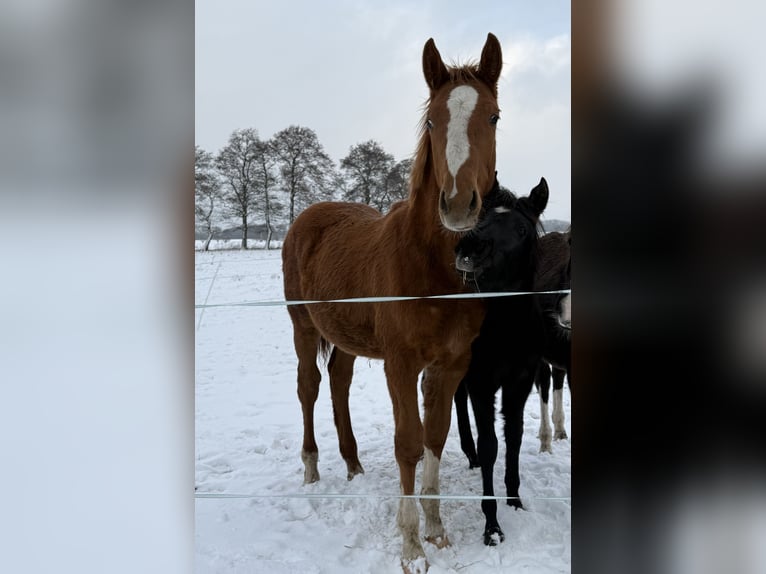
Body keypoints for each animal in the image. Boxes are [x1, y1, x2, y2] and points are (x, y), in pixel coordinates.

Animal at [281, 33, 503, 572]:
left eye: (493, 116)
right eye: (433, 121)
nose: (458, 206)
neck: (433, 268)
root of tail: (309, 217)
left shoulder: (450, 365)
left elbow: (435, 436)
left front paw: (438, 531)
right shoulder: (400, 364)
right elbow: (408, 443)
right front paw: (411, 546)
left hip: (345, 336)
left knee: (338, 381)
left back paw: (353, 464)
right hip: (302, 327)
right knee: (309, 387)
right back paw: (312, 469)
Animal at [452, 178, 549, 545]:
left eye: (522, 229)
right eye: (483, 219)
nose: (471, 248)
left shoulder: (519, 383)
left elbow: (514, 437)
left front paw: (515, 500)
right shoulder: (482, 383)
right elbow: (491, 444)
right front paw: (491, 524)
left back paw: (470, 455)